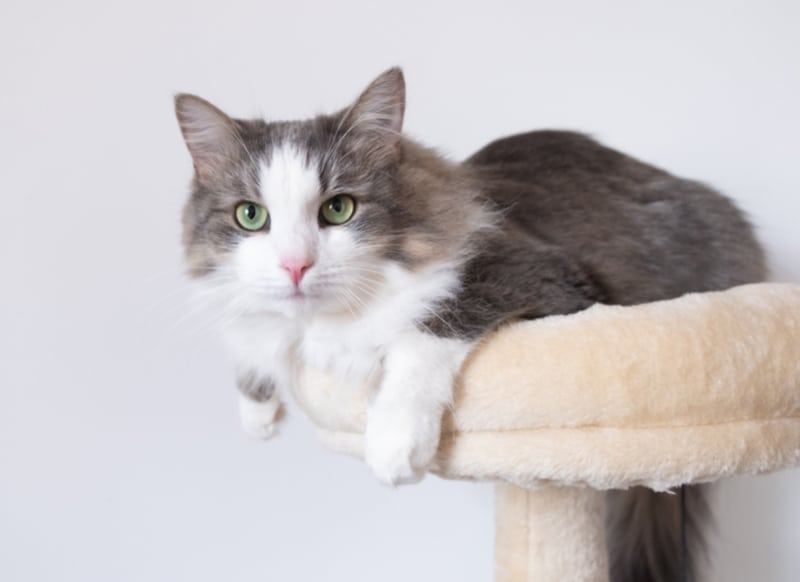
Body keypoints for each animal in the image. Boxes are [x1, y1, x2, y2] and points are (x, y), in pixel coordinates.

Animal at [177, 66, 768, 580]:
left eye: (339, 209)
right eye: (250, 216)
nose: (295, 265)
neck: (326, 324)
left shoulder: (543, 278)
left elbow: (426, 330)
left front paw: (394, 444)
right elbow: (260, 342)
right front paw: (257, 409)